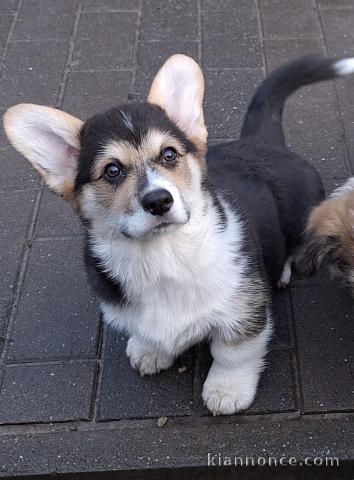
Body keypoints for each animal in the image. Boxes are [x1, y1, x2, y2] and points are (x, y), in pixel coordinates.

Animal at [3, 53, 354, 416]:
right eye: (112, 171)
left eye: (168, 154)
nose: (159, 200)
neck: (162, 256)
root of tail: (261, 141)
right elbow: (149, 332)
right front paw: (149, 351)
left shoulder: (244, 307)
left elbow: (233, 352)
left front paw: (227, 390)